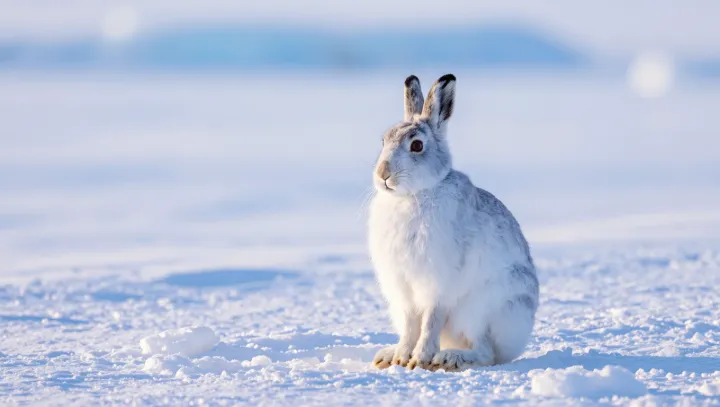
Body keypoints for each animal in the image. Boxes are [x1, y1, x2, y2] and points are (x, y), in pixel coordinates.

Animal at [368, 74, 538, 372]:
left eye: (416, 145)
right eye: (383, 141)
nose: (383, 174)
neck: (414, 195)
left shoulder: (438, 283)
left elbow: (430, 321)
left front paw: (419, 359)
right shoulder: (404, 290)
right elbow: (411, 325)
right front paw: (400, 357)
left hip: (481, 309)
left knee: (486, 352)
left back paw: (450, 358)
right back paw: (388, 355)